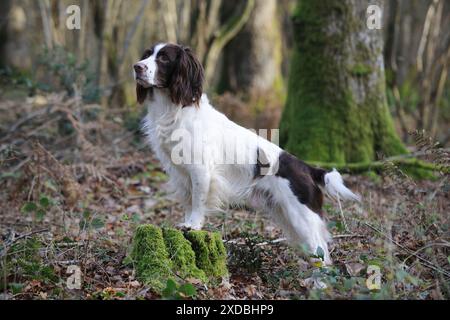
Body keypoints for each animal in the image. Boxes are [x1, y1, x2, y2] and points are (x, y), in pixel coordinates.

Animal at [132, 42, 360, 264]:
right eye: (147, 54)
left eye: (164, 58)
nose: (136, 67)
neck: (175, 108)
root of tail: (308, 168)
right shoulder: (181, 173)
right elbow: (188, 200)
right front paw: (185, 222)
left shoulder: (201, 170)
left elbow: (198, 200)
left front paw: (193, 225)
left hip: (302, 218)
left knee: (322, 255)